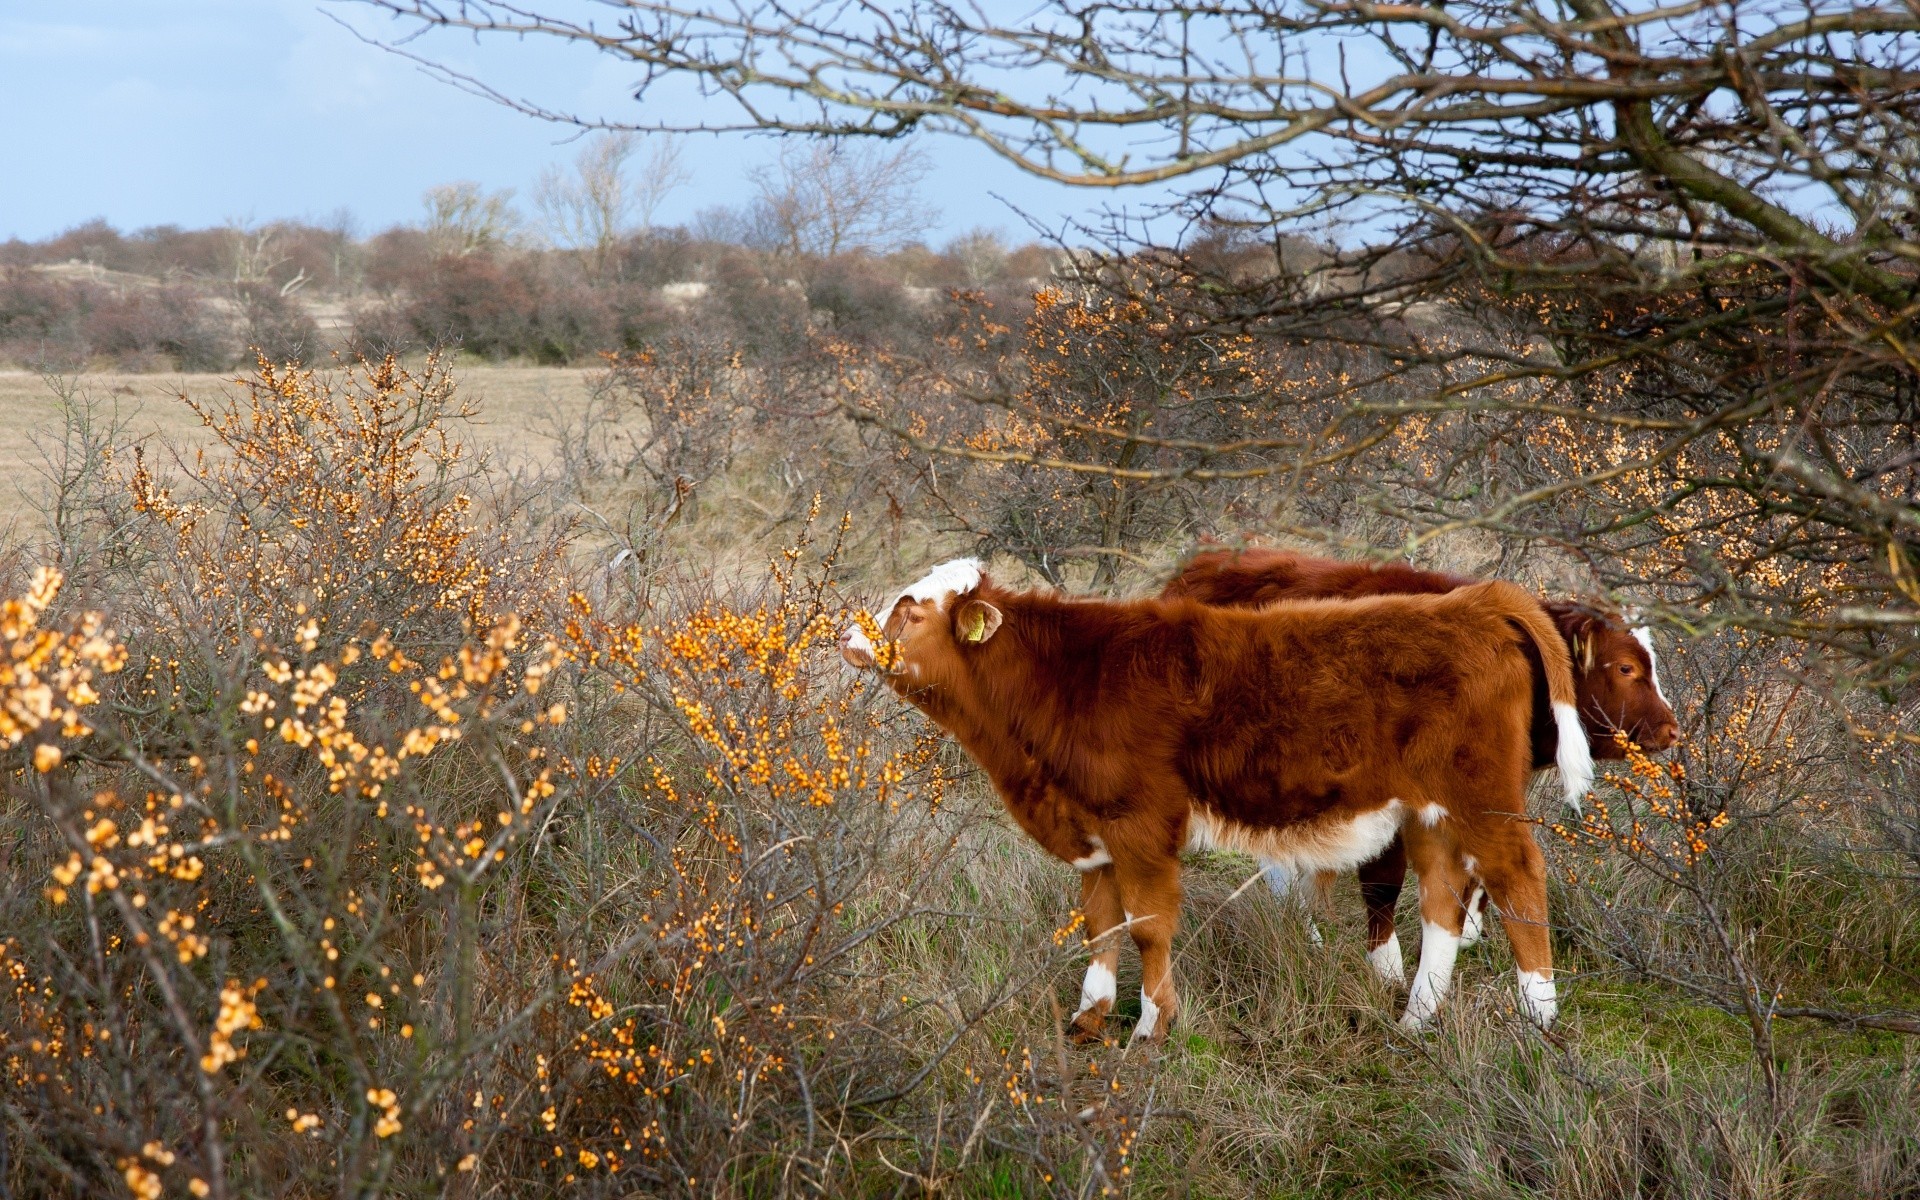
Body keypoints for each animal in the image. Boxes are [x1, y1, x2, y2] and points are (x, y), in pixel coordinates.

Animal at [840, 556, 1589, 1036]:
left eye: (911, 611)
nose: (848, 636)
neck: (1065, 678)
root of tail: (1475, 603)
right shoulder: (1094, 826)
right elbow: (1100, 923)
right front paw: (1089, 1018)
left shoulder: (1141, 825)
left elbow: (1147, 926)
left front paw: (1152, 1026)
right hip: (1427, 812)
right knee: (1440, 900)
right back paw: (1415, 1020)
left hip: (1481, 798)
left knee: (1518, 878)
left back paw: (1539, 1019)